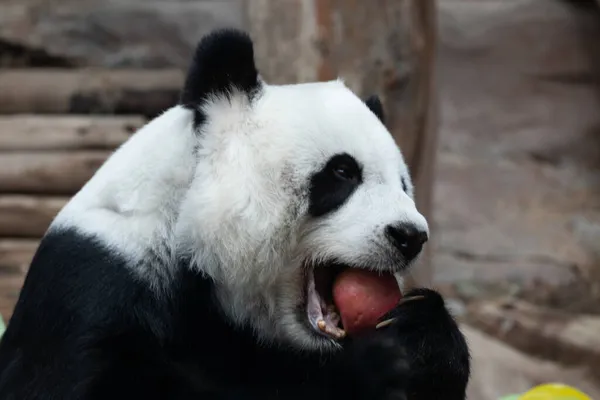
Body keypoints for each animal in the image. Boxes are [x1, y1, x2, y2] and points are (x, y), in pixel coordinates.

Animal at [0, 28, 472, 400]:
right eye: (343, 171)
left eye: (404, 185)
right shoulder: (94, 282)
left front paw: (427, 338)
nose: (409, 235)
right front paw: (375, 365)